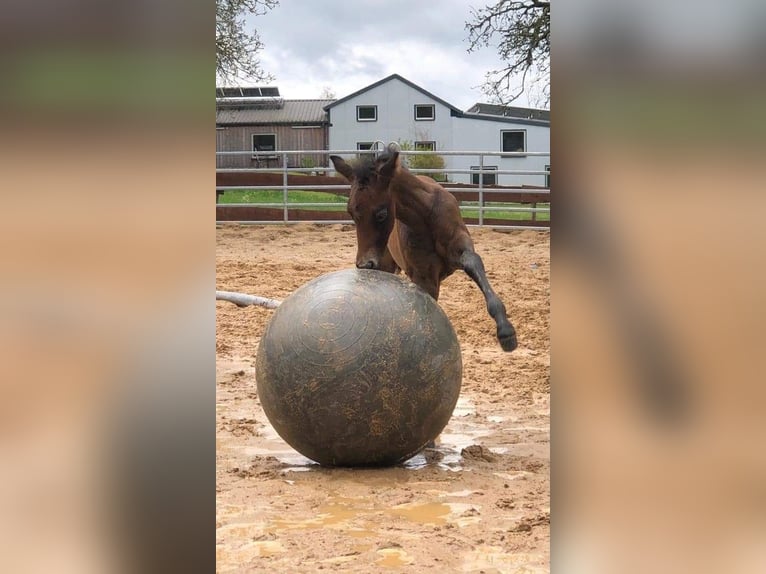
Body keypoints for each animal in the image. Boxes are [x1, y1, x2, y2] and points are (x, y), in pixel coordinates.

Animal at [332, 146, 520, 354]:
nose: (365, 263)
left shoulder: (461, 249)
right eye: (350, 212)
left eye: (381, 214)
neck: (426, 216)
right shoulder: (425, 277)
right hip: (386, 265)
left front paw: (506, 331)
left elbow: (474, 264)